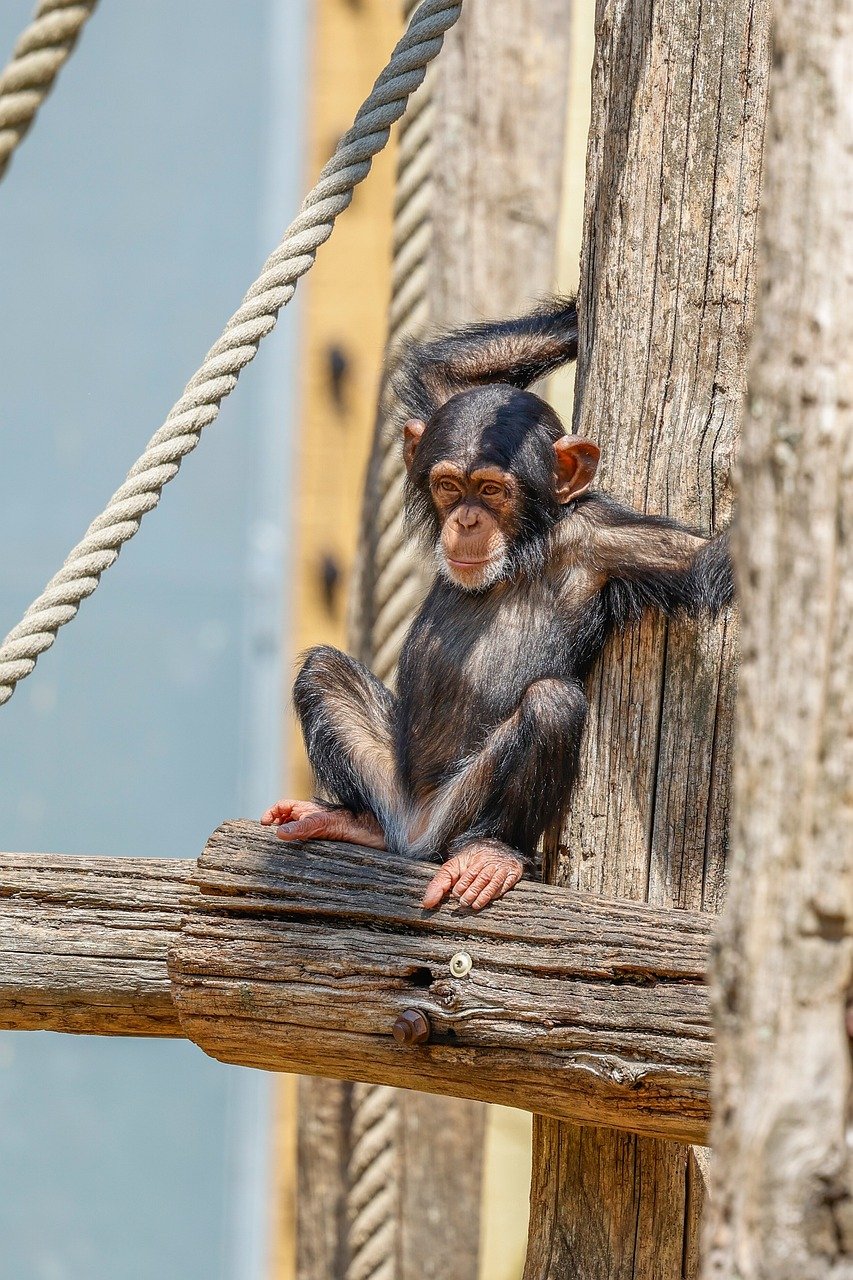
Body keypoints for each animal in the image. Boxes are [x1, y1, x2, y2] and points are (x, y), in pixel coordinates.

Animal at [262, 297, 733, 911]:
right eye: (447, 486)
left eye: (490, 490)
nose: (466, 519)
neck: (528, 544)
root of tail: (413, 832)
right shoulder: (442, 408)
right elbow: (446, 373)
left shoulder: (614, 543)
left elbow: (710, 560)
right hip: (390, 784)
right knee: (322, 671)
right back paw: (355, 819)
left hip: (460, 809)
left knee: (551, 704)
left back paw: (491, 853)